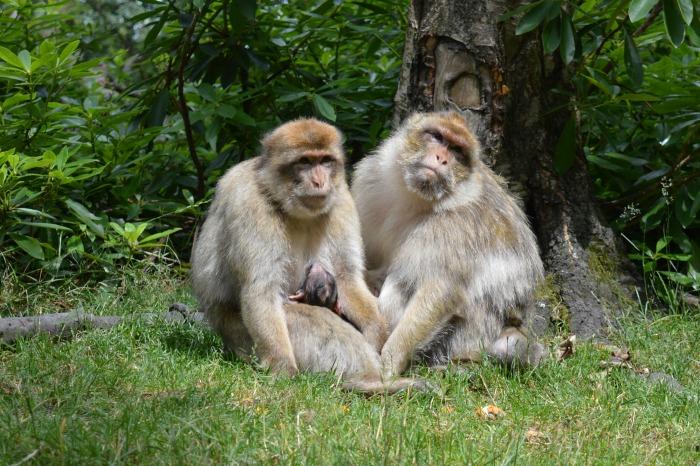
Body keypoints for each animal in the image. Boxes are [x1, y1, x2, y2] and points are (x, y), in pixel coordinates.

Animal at [191, 117, 426, 394]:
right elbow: (262, 290)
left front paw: (377, 334)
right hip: (241, 339)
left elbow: (346, 277)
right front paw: (283, 369)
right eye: (304, 162)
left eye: (325, 161)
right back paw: (366, 381)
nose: (319, 181)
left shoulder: (341, 199)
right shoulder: (250, 205)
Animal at [352, 111, 544, 376]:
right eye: (437, 136)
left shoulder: (453, 228)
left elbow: (440, 291)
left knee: (402, 283)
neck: (416, 199)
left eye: (457, 150)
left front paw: (389, 363)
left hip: (470, 336)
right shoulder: (370, 182)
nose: (441, 158)